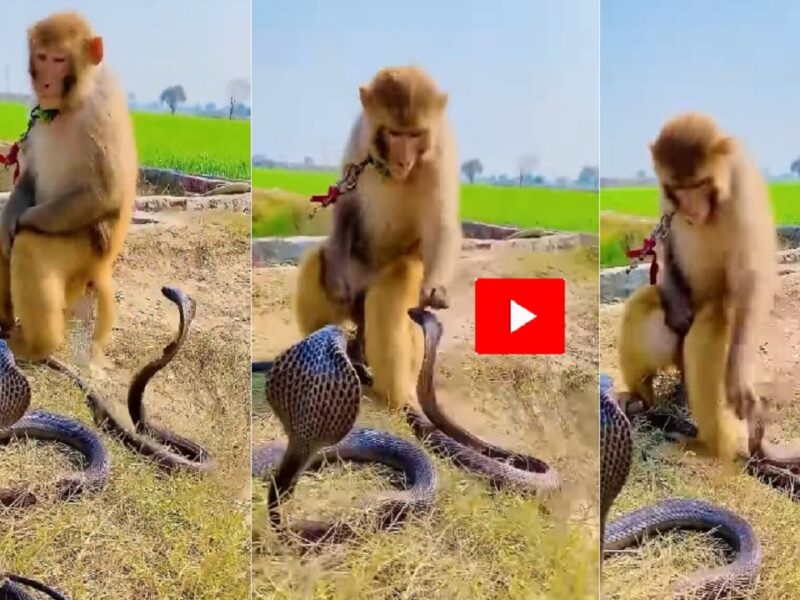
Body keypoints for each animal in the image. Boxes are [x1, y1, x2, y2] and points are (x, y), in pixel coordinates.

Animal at [0, 11, 138, 363]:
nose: (45, 84)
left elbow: (104, 193)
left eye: (60, 60)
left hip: (84, 250)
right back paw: (5, 324)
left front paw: (22, 222)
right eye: (42, 57)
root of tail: (101, 268)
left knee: (30, 246)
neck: (69, 103)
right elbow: (30, 175)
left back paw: (37, 345)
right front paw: (9, 219)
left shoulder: (101, 108)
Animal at [294, 65, 461, 408]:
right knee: (319, 259)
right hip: (355, 278)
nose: (403, 160)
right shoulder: (360, 135)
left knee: (397, 283)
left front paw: (436, 290)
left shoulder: (440, 153)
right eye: (395, 133)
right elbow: (346, 204)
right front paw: (335, 279)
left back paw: (394, 397)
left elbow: (441, 224)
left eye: (414, 134)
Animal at [618, 112, 777, 460]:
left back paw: (707, 446)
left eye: (699, 184)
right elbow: (666, 243)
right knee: (645, 303)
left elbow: (751, 277)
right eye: (679, 188)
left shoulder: (743, 186)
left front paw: (739, 378)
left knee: (712, 321)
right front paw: (678, 311)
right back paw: (640, 400)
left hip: (716, 313)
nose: (690, 210)